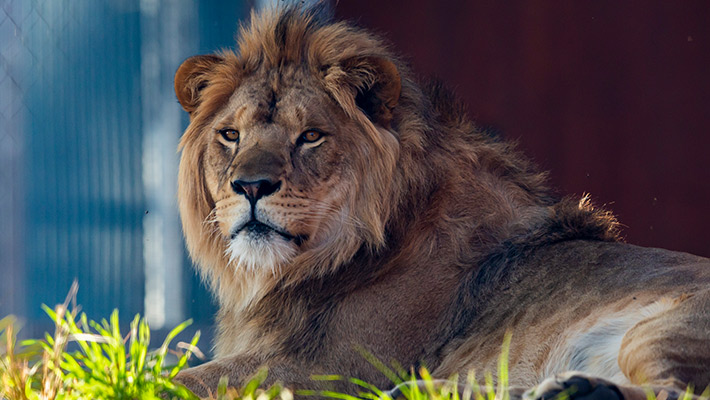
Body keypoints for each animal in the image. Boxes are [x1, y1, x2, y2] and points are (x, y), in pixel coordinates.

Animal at [172, 3, 710, 400]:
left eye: (310, 136)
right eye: (230, 135)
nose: (250, 186)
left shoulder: (335, 367)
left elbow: (184, 378)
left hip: (663, 331)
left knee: (676, 392)